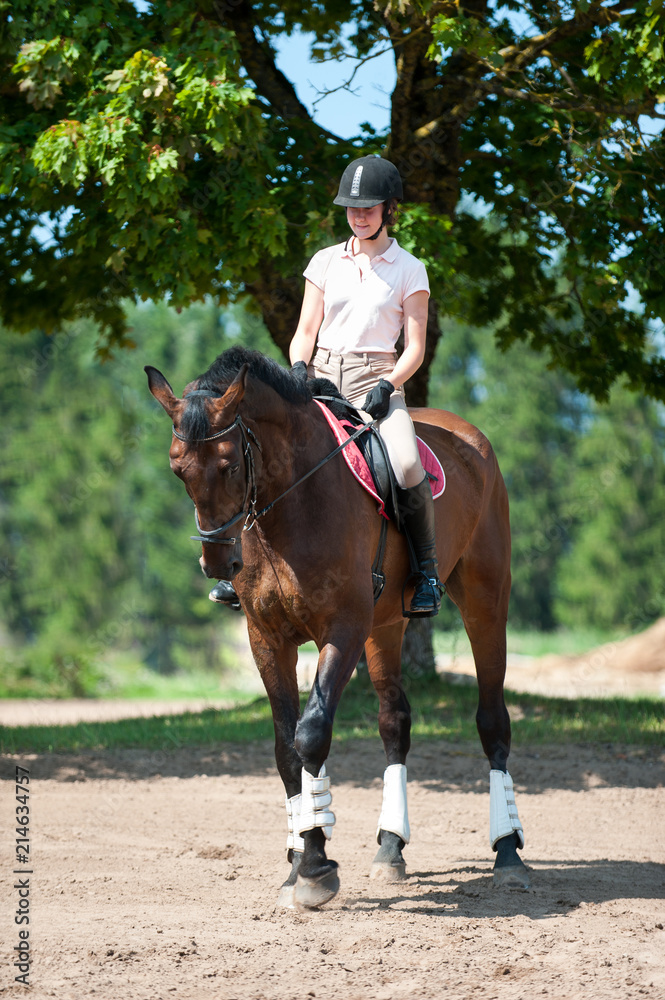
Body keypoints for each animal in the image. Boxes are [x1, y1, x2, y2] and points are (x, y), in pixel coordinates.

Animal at [147, 348, 528, 912]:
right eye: (178, 469)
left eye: (230, 463)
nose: (218, 563)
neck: (289, 505)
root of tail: (468, 434)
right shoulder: (268, 639)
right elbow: (286, 749)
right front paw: (300, 857)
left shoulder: (342, 629)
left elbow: (311, 734)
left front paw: (314, 868)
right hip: (384, 626)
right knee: (395, 722)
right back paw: (390, 847)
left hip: (484, 598)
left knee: (492, 720)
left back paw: (507, 852)